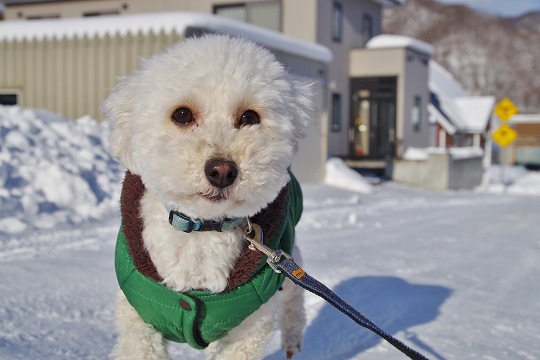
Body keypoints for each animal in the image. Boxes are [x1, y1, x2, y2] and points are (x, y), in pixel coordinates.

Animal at [105, 34, 312, 360]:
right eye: (181, 114)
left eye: (249, 116)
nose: (222, 171)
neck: (202, 231)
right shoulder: (138, 324)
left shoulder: (250, 327)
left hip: (286, 265)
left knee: (294, 295)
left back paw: (292, 339)